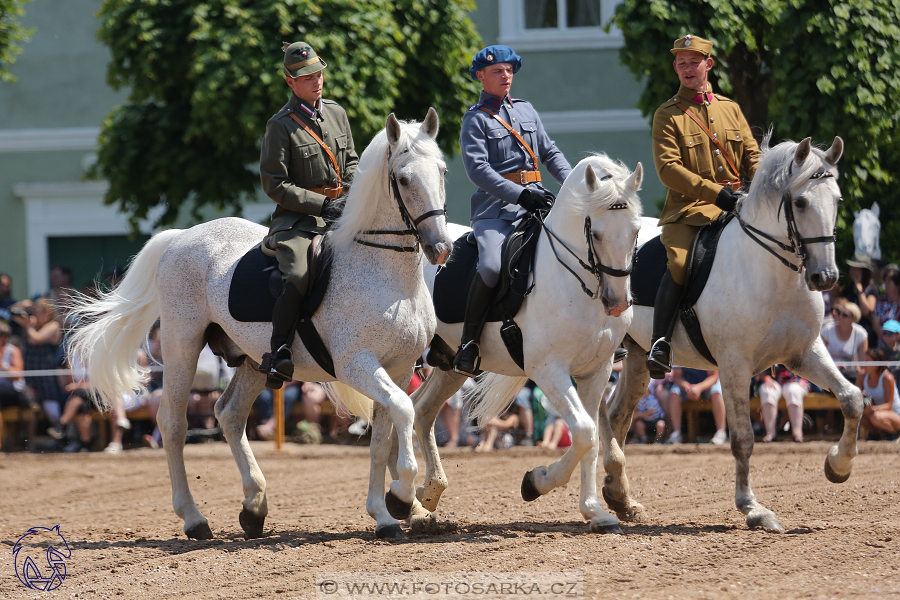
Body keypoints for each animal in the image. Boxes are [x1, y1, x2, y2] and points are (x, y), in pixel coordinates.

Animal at [67, 110, 454, 540]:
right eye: (403, 179)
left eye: (441, 171)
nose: (441, 248)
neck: (386, 274)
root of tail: (182, 236)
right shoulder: (357, 365)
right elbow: (402, 411)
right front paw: (401, 498)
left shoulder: (398, 369)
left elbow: (385, 434)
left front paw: (387, 513)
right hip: (182, 342)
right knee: (173, 423)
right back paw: (194, 518)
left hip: (254, 359)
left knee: (230, 413)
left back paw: (254, 505)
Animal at [398, 155, 644, 536]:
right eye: (596, 233)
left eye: (635, 231)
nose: (616, 303)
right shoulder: (549, 370)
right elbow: (584, 432)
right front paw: (536, 482)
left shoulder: (597, 371)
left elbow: (590, 439)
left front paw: (595, 512)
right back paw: (401, 501)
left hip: (451, 364)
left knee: (421, 409)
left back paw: (425, 498)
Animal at [604, 136, 856, 528]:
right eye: (800, 202)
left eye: (838, 200)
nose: (825, 277)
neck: (770, 271)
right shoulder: (735, 365)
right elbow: (743, 439)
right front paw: (752, 508)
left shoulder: (804, 353)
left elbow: (852, 399)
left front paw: (837, 466)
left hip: (637, 356)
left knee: (617, 415)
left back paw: (620, 498)